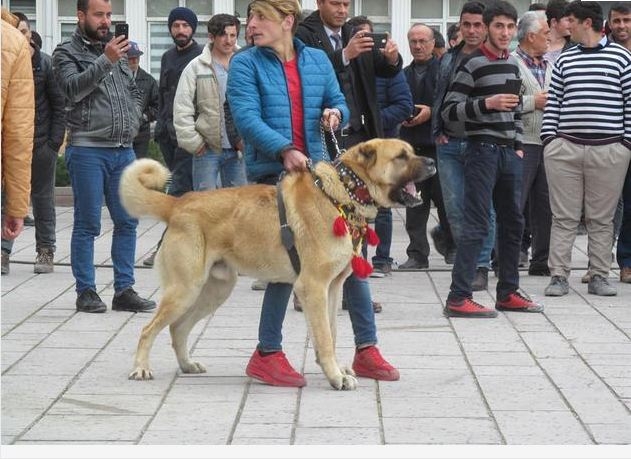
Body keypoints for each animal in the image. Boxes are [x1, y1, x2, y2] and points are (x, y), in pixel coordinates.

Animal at [119, 138, 434, 390]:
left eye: (411, 151)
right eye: (401, 156)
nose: (431, 161)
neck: (344, 193)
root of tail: (178, 204)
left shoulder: (332, 290)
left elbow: (331, 334)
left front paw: (334, 369)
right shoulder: (313, 288)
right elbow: (324, 337)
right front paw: (335, 377)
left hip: (214, 291)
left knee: (178, 328)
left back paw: (187, 365)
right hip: (185, 289)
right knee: (149, 329)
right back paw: (140, 368)